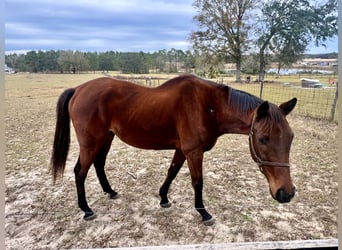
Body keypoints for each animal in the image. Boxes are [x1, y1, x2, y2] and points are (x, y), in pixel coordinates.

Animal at [50, 73, 296, 226]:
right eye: (263, 139)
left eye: (291, 138)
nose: (286, 193)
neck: (209, 106)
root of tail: (79, 89)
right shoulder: (193, 151)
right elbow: (197, 182)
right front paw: (203, 212)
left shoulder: (182, 150)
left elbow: (172, 172)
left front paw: (163, 198)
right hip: (91, 143)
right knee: (80, 171)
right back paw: (86, 209)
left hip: (106, 139)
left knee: (99, 165)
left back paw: (110, 192)